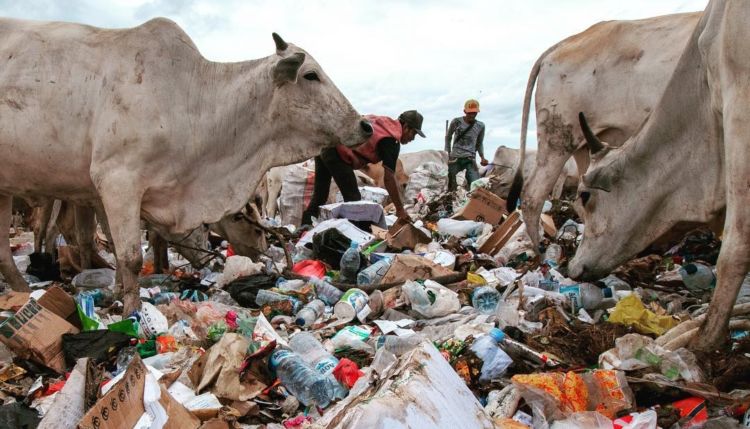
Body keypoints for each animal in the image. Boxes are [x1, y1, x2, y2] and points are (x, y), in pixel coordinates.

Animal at [0, 18, 374, 312]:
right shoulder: (116, 181)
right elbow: (130, 256)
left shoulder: (106, 194)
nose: (365, 125)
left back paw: (21, 294)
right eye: (310, 75)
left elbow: (125, 249)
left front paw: (118, 293)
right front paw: (130, 316)